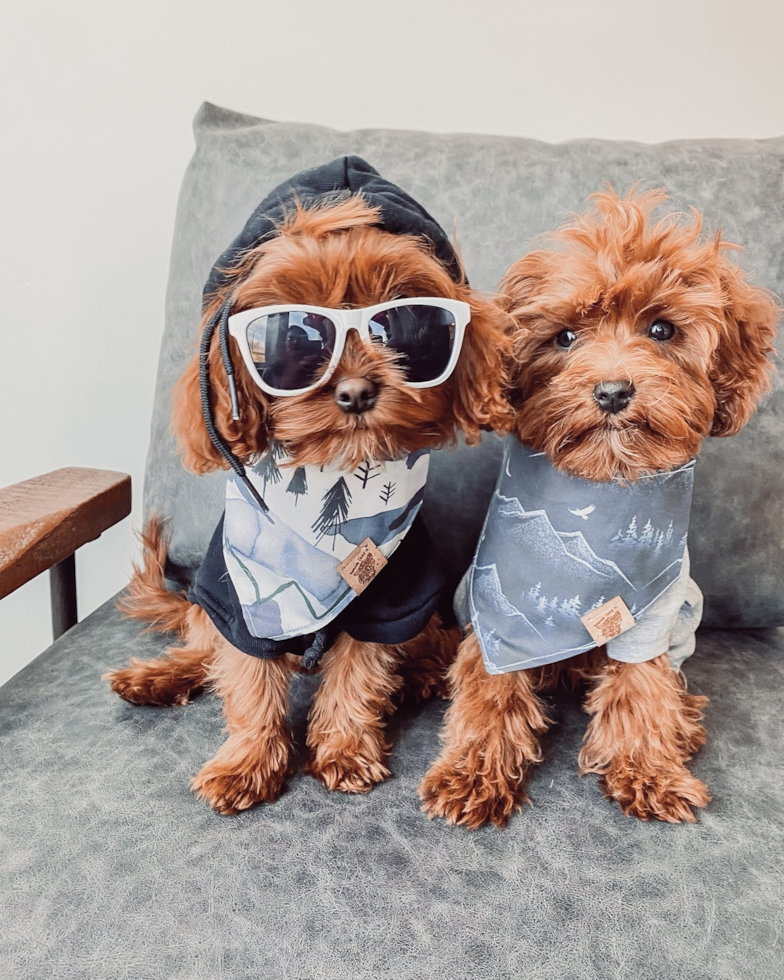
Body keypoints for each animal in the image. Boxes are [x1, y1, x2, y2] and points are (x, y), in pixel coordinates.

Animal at [104, 163, 508, 820]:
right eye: (292, 337)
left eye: (404, 326)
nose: (355, 391)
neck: (332, 477)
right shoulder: (236, 598)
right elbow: (246, 681)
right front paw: (248, 761)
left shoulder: (390, 599)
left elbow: (357, 676)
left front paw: (344, 747)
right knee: (202, 645)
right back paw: (162, 676)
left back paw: (421, 671)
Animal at [420, 186, 776, 828]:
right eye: (563, 337)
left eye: (662, 329)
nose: (613, 391)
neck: (600, 481)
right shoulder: (496, 614)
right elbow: (488, 687)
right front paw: (473, 772)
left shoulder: (651, 616)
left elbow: (641, 683)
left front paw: (648, 769)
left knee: (671, 684)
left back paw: (682, 726)